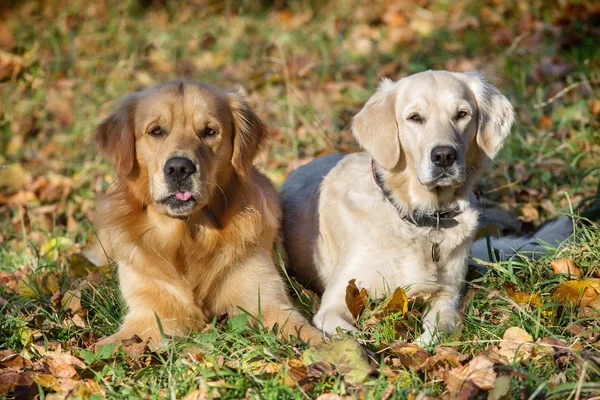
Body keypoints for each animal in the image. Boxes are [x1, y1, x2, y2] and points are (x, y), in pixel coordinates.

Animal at [91, 80, 322, 346]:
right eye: (156, 131)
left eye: (209, 132)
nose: (179, 168)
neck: (187, 235)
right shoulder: (150, 313)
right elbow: (108, 345)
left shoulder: (267, 300)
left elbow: (303, 330)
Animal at [284, 70, 512, 346]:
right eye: (415, 117)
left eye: (461, 114)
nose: (444, 156)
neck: (417, 218)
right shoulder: (334, 303)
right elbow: (353, 337)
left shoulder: (447, 295)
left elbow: (440, 327)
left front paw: (419, 346)